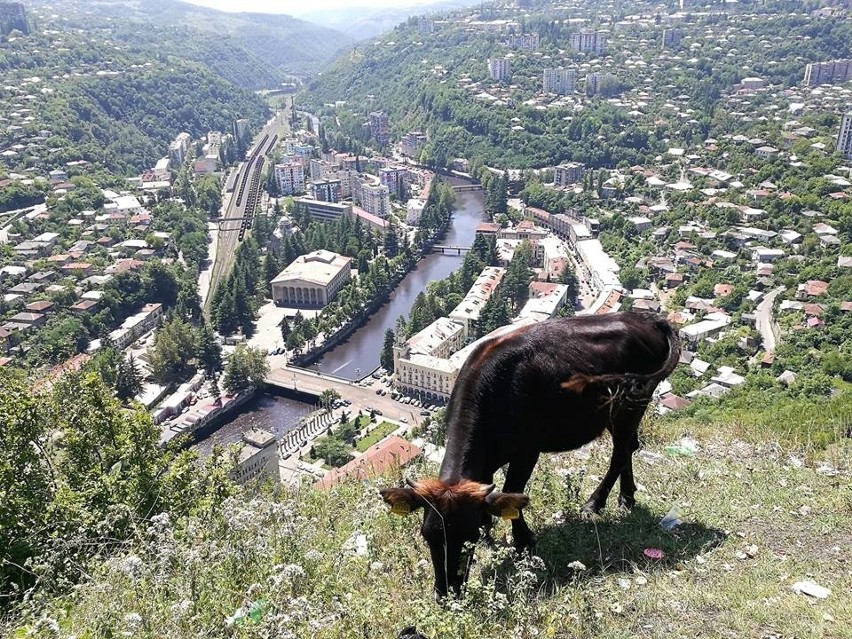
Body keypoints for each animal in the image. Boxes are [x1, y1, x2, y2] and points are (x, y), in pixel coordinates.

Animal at [380, 312, 680, 600]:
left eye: (467, 538)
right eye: (427, 536)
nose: (445, 593)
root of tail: (650, 318)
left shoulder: (527, 451)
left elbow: (513, 491)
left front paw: (523, 539)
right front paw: (491, 528)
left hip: (631, 403)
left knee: (619, 452)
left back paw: (594, 503)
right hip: (615, 412)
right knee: (628, 446)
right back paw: (626, 496)